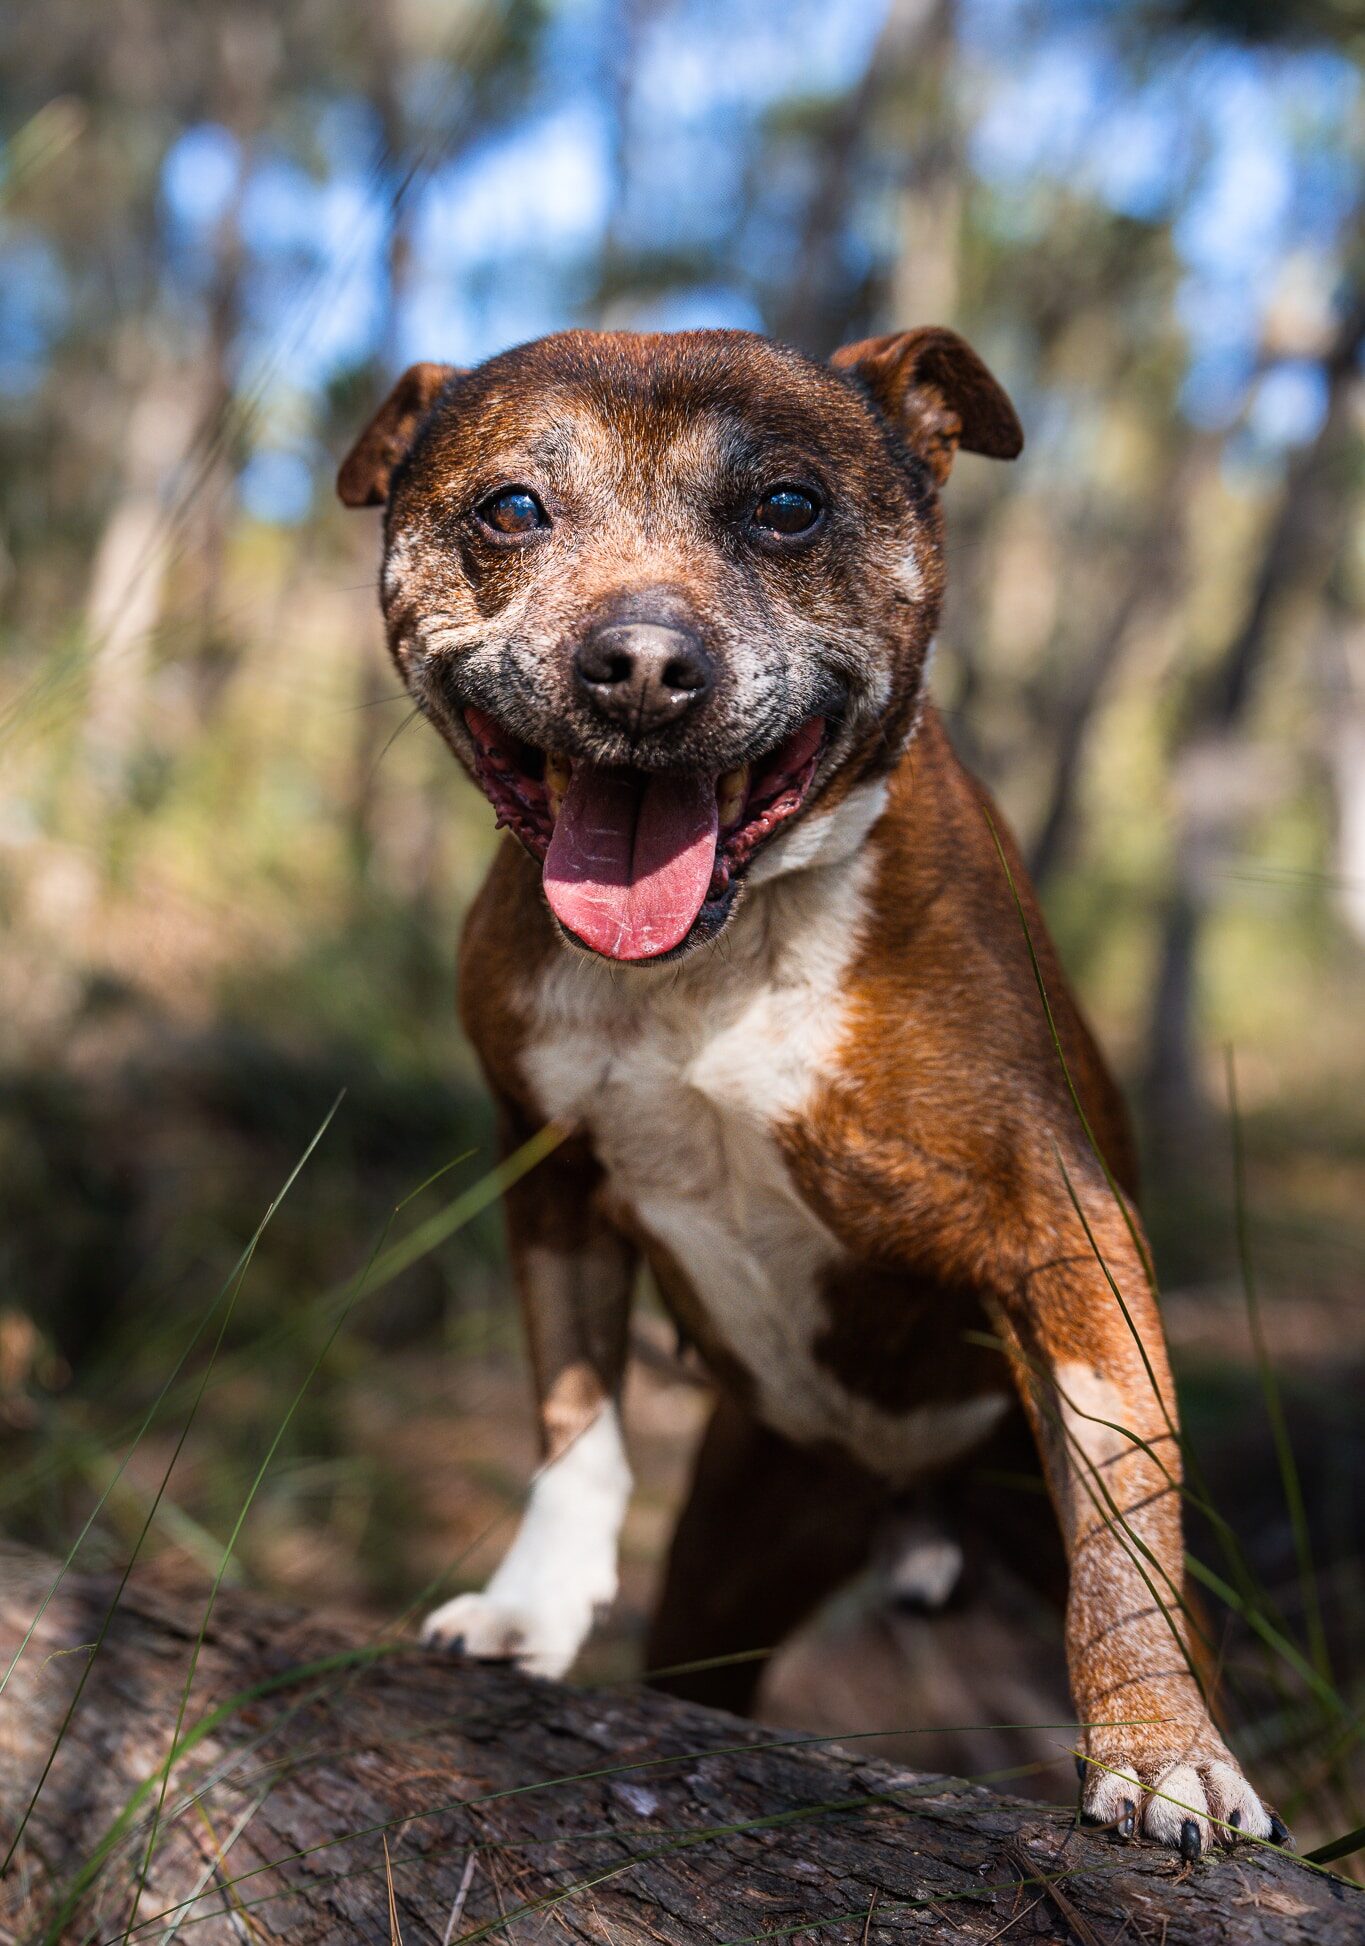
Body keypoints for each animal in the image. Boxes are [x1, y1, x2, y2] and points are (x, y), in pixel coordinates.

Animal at [338, 325, 1283, 1859]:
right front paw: (533, 1602)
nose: (641, 664)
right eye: (511, 509)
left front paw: (1157, 1748)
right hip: (735, 1555)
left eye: (787, 507)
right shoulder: (550, 1171)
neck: (714, 959)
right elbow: (575, 1415)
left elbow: (1123, 1520)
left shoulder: (1066, 1233)